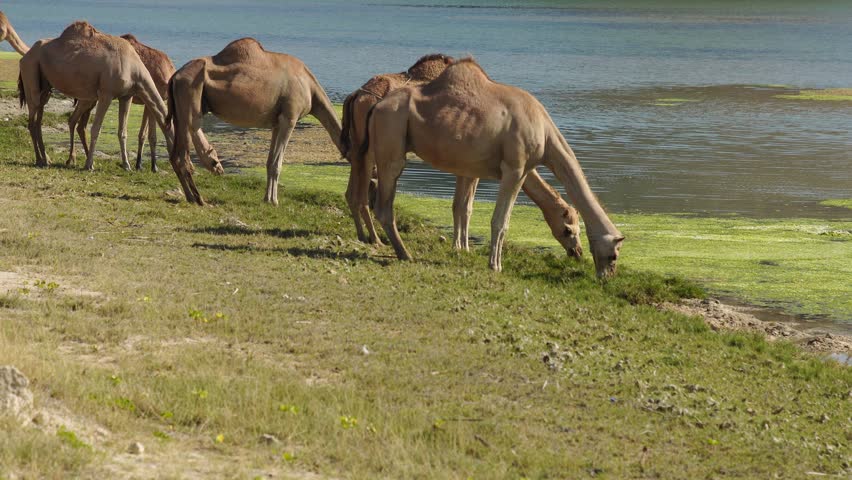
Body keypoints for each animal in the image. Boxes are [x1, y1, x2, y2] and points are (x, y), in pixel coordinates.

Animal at [18, 22, 178, 179]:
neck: (134, 68)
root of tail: (26, 55)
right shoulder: (106, 93)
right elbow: (96, 129)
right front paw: (89, 165)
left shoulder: (126, 96)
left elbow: (123, 131)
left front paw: (127, 165)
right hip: (31, 72)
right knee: (33, 119)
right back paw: (40, 160)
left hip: (46, 87)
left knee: (39, 118)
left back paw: (47, 159)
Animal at [168, 38, 344, 205]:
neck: (311, 89)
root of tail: (175, 77)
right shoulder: (290, 117)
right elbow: (277, 164)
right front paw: (275, 201)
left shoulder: (276, 123)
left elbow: (270, 162)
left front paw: (267, 199)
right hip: (190, 97)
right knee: (184, 154)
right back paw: (199, 199)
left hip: (178, 112)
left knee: (174, 156)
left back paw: (191, 195)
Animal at [362, 58, 624, 277]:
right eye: (613, 255)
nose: (578, 253)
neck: (546, 134)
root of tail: (377, 106)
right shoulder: (515, 169)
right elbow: (500, 221)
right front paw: (495, 265)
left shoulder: (485, 169)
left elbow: (465, 208)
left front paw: (466, 251)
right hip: (392, 138)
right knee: (384, 204)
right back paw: (404, 254)